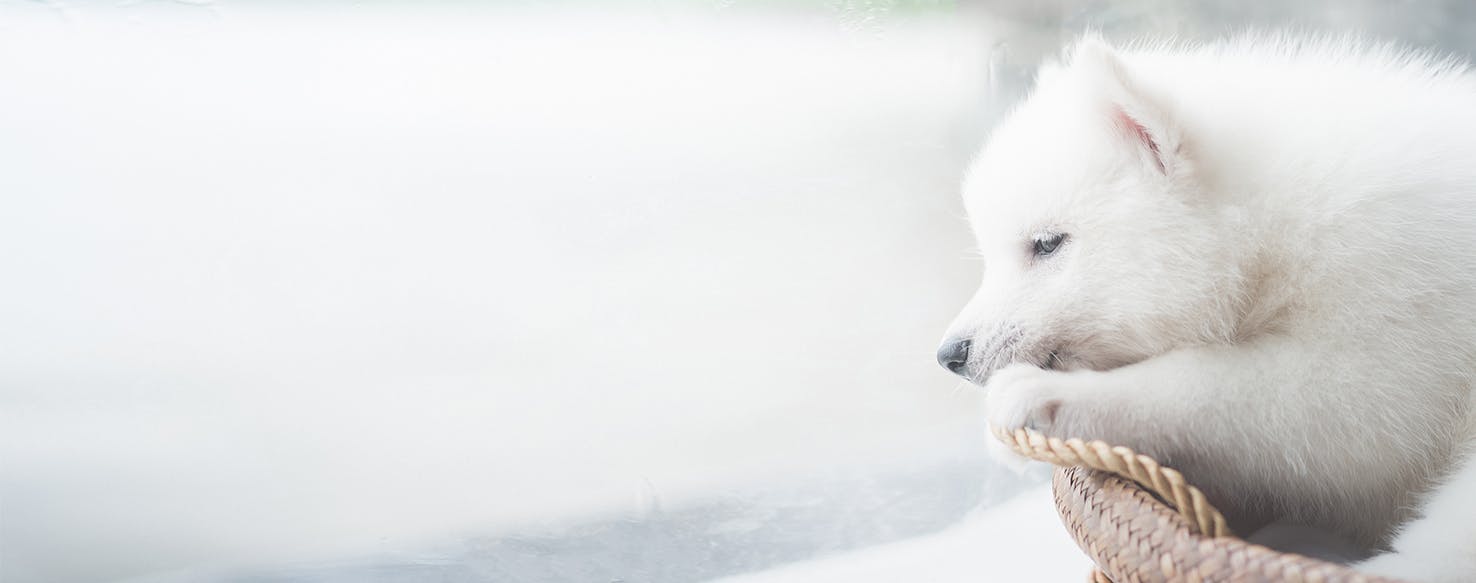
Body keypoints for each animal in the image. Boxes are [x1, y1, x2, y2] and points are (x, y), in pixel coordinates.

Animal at [944, 36, 1476, 583]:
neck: (1277, 226)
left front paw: (1049, 398)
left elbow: (1210, 386)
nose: (950, 354)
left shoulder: (1387, 341)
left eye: (1047, 244)